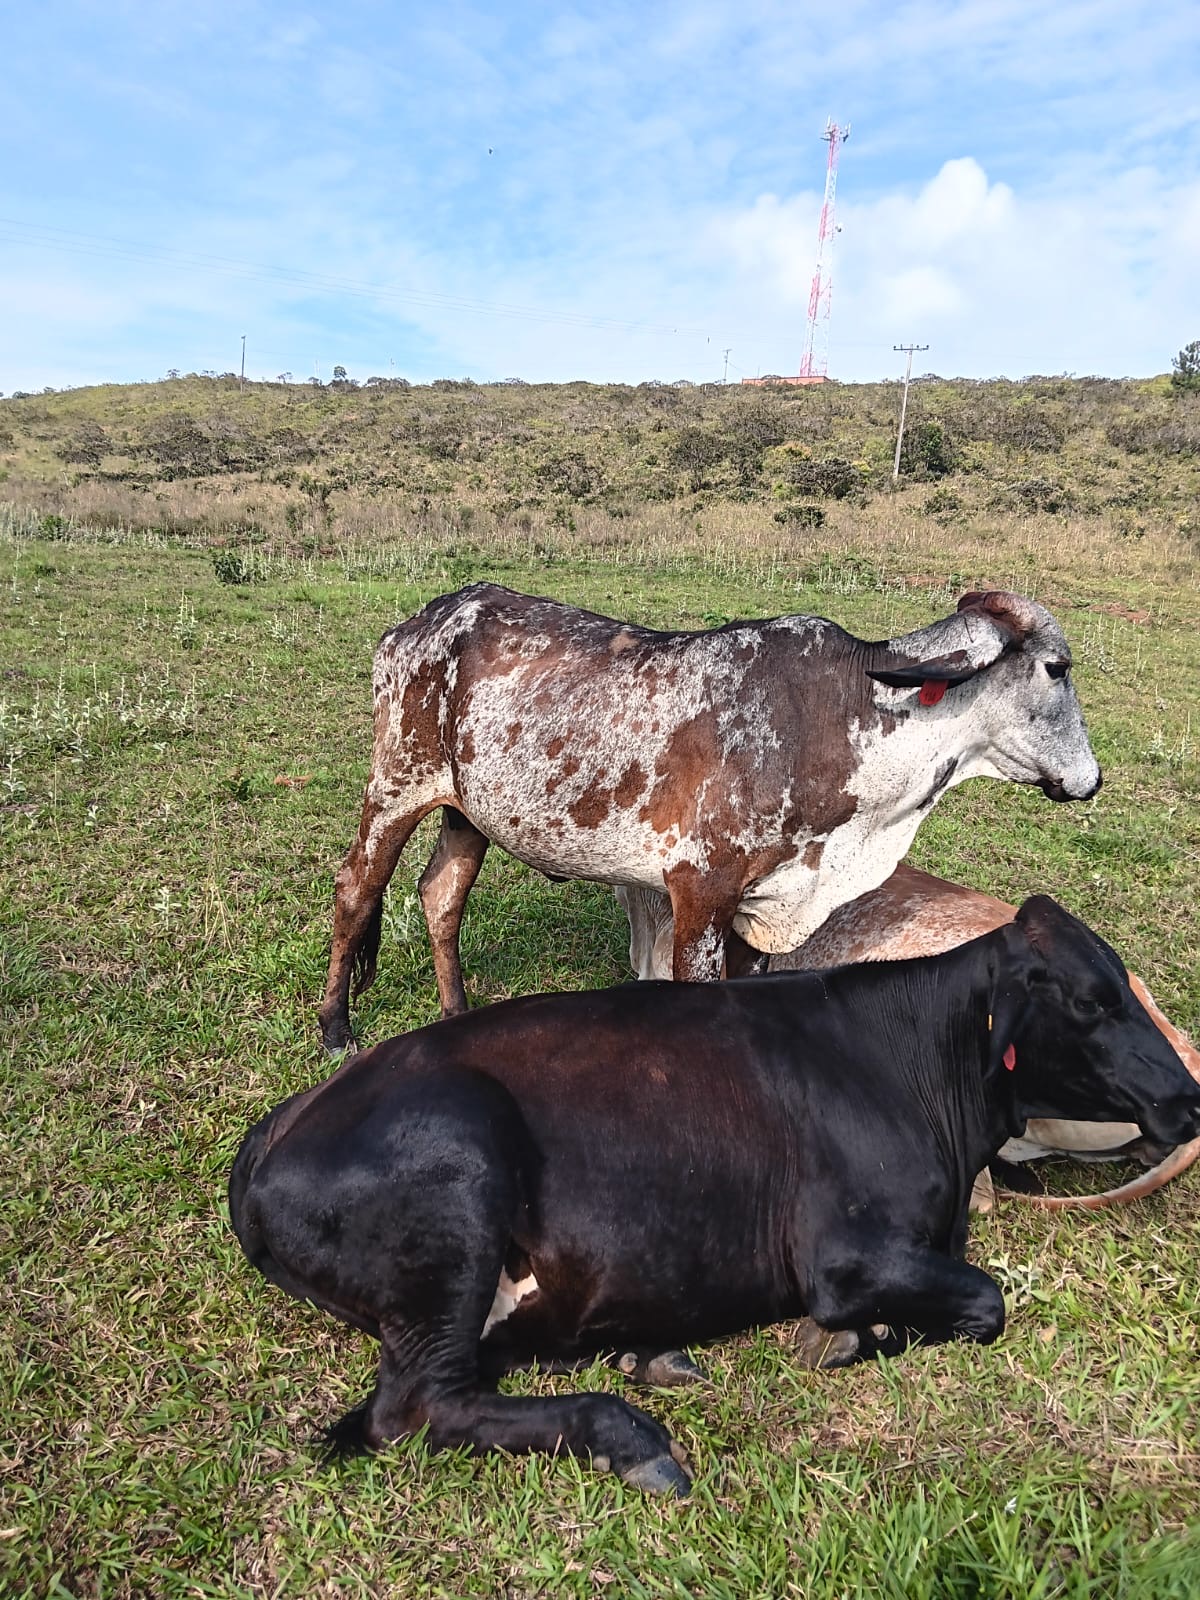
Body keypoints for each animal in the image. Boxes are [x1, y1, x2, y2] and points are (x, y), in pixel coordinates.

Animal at [319, 583, 1101, 1051]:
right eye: (1057, 668)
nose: (1091, 780)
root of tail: (426, 616)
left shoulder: (761, 906)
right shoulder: (698, 892)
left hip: (467, 813)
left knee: (440, 895)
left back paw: (455, 1017)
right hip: (397, 785)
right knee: (357, 888)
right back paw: (335, 1028)